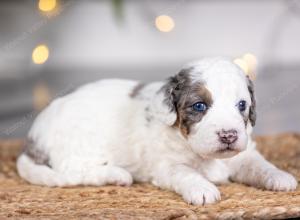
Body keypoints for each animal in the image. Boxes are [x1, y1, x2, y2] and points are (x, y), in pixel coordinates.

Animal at [17, 58, 296, 205]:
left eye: (242, 105)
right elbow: (185, 173)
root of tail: (31, 140)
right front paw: (203, 189)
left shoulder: (244, 154)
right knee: (74, 172)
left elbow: (259, 164)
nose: (229, 135)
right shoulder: (165, 166)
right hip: (80, 145)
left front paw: (281, 177)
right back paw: (117, 175)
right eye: (199, 106)